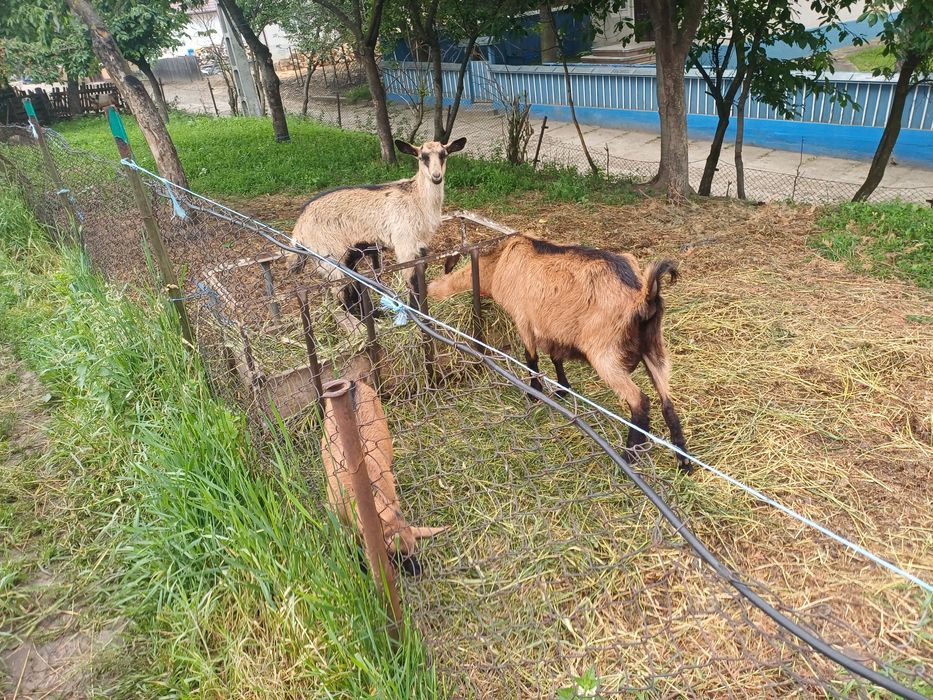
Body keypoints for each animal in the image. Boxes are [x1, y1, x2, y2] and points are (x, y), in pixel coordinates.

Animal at [286, 137, 467, 318]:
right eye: (422, 157)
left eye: (444, 154)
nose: (436, 177)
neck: (417, 198)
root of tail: (299, 227)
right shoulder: (404, 243)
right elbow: (411, 278)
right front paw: (416, 312)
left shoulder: (421, 243)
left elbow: (420, 272)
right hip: (329, 255)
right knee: (340, 291)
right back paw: (361, 318)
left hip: (344, 254)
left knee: (352, 283)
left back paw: (372, 313)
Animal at [429, 235, 691, 472]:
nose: (430, 294)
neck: (499, 263)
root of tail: (643, 297)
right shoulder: (553, 330)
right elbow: (556, 358)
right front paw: (563, 389)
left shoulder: (524, 320)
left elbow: (531, 357)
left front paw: (534, 392)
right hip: (655, 349)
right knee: (667, 403)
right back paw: (684, 462)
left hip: (605, 356)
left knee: (640, 401)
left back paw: (630, 456)